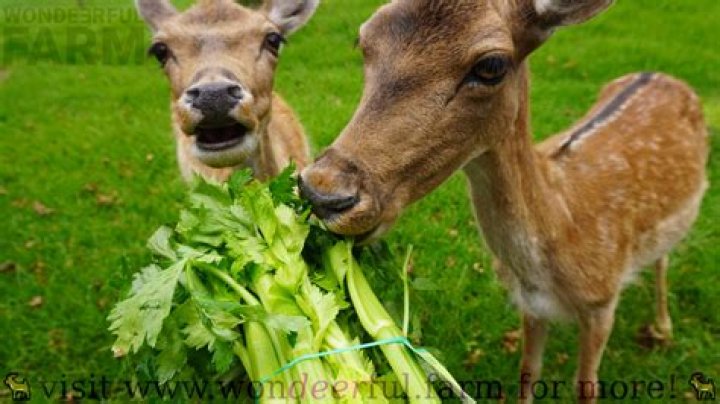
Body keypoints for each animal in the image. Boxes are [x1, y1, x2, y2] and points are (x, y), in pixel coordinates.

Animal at [298, 0, 709, 402]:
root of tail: (661, 74)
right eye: (363, 40)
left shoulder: (602, 301)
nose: (322, 191)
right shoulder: (531, 305)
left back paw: (663, 329)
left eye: (492, 65)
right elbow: (528, 372)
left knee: (663, 259)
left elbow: (586, 386)